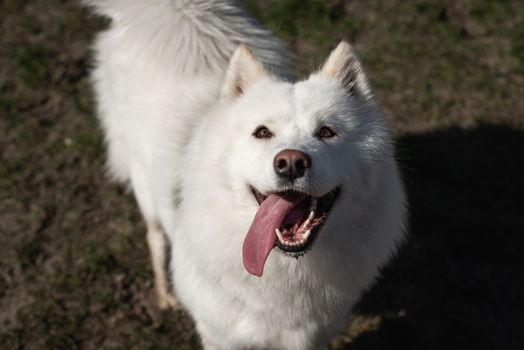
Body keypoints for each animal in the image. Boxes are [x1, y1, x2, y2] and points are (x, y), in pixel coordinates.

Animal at [86, 1, 408, 348]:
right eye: (262, 132)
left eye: (326, 132)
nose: (291, 162)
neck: (285, 274)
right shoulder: (220, 335)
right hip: (144, 184)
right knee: (155, 237)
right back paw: (164, 294)